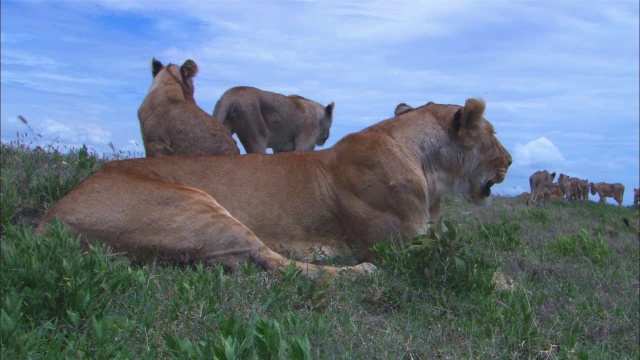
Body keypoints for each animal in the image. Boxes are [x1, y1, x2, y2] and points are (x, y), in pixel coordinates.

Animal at [38, 97, 510, 278]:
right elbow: (480, 266)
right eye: (493, 134)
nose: (509, 161)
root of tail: (49, 216)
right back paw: (358, 271)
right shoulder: (399, 246)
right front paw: (505, 283)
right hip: (194, 206)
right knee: (278, 264)